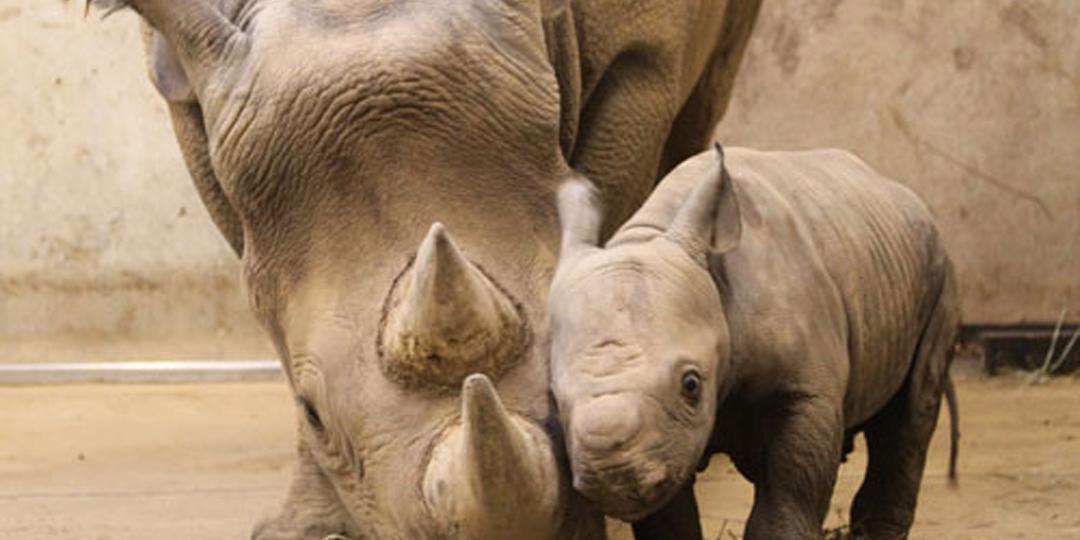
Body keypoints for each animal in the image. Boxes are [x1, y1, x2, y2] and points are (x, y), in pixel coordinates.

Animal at [552, 144, 959, 540]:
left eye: (691, 384)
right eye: (555, 400)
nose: (612, 477)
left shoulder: (804, 392)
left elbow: (785, 503)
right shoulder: (669, 441)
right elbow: (669, 519)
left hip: (939, 269)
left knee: (910, 416)